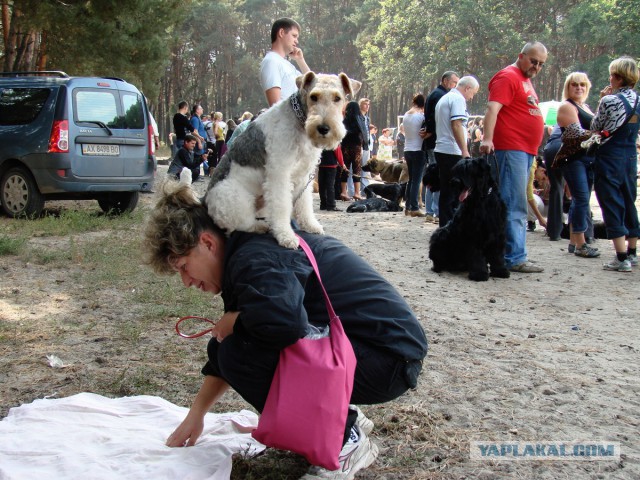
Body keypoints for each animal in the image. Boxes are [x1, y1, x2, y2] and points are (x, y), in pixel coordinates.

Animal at [205, 74, 360, 251]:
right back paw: (261, 227)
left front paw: (310, 225)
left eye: (337, 98)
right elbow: (282, 206)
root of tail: (205, 201)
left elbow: (304, 205)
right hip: (236, 198)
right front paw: (286, 236)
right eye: (313, 96)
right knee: (240, 225)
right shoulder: (279, 174)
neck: (299, 122)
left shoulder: (305, 176)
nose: (323, 128)